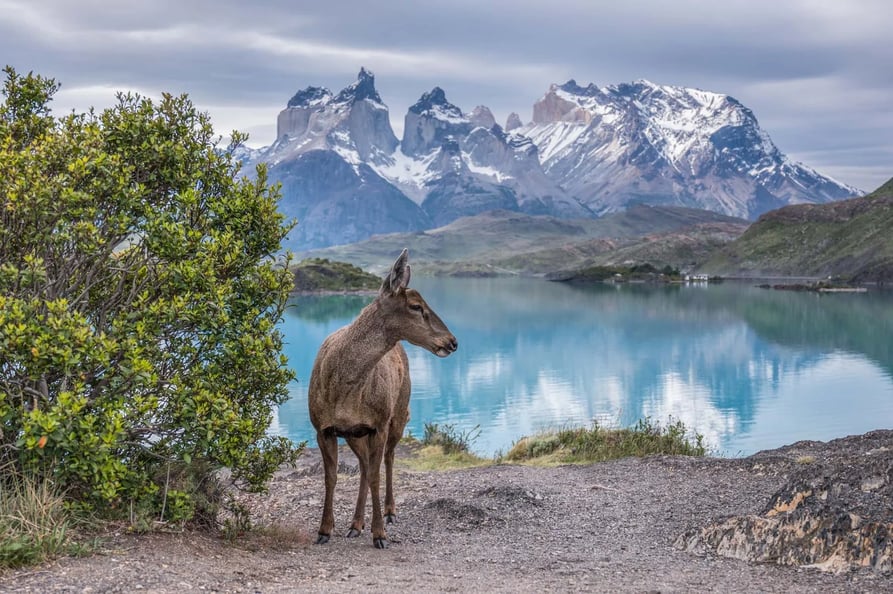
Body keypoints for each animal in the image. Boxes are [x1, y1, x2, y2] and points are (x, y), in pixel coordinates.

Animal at [308, 246, 460, 544]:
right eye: (416, 306)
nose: (452, 342)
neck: (344, 390)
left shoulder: (377, 424)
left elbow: (376, 475)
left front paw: (380, 534)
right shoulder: (323, 427)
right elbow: (331, 478)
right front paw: (324, 531)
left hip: (399, 413)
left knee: (388, 458)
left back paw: (389, 512)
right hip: (355, 434)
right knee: (364, 467)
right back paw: (355, 524)